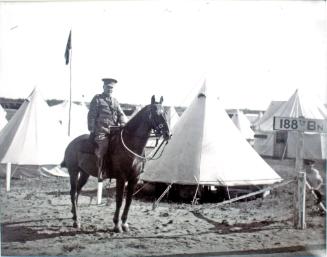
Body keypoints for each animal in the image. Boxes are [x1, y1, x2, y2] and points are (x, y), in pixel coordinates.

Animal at [60, 95, 172, 231]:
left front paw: (124, 224)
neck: (130, 145)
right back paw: (76, 221)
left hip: (85, 174)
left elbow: (128, 201)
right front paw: (117, 225)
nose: (168, 134)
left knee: (77, 191)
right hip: (74, 172)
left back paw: (75, 215)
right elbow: (119, 200)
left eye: (165, 113)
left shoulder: (134, 179)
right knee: (73, 192)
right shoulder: (121, 178)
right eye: (156, 113)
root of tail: (71, 143)